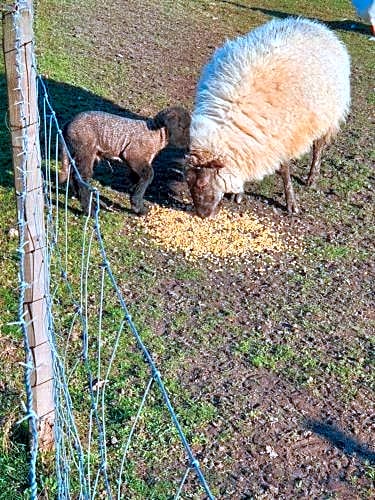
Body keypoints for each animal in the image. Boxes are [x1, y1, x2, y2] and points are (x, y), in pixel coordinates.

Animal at [60, 105, 192, 215]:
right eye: (182, 127)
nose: (190, 145)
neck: (156, 135)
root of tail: (68, 124)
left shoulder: (140, 161)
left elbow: (136, 179)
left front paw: (136, 204)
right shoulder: (133, 155)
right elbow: (149, 175)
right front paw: (139, 207)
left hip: (79, 152)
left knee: (73, 173)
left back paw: (77, 196)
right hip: (85, 149)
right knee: (81, 177)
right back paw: (90, 210)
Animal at [188, 18, 352, 217]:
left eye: (203, 183)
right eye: (187, 182)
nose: (202, 215)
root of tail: (315, 24)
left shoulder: (282, 138)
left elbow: (284, 171)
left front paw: (291, 203)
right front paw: (239, 193)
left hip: (328, 117)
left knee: (318, 147)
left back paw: (312, 178)